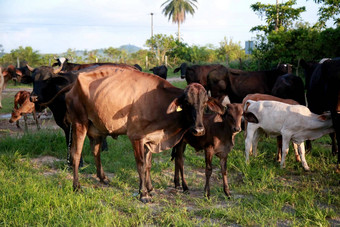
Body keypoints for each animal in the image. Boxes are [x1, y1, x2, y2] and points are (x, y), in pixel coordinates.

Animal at [64, 64, 224, 203]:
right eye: (187, 103)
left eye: (204, 104)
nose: (199, 130)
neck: (159, 103)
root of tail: (73, 86)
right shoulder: (136, 137)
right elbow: (140, 164)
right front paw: (144, 194)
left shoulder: (150, 140)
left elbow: (148, 165)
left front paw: (150, 188)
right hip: (79, 123)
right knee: (76, 154)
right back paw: (76, 186)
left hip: (97, 128)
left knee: (96, 152)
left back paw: (103, 178)